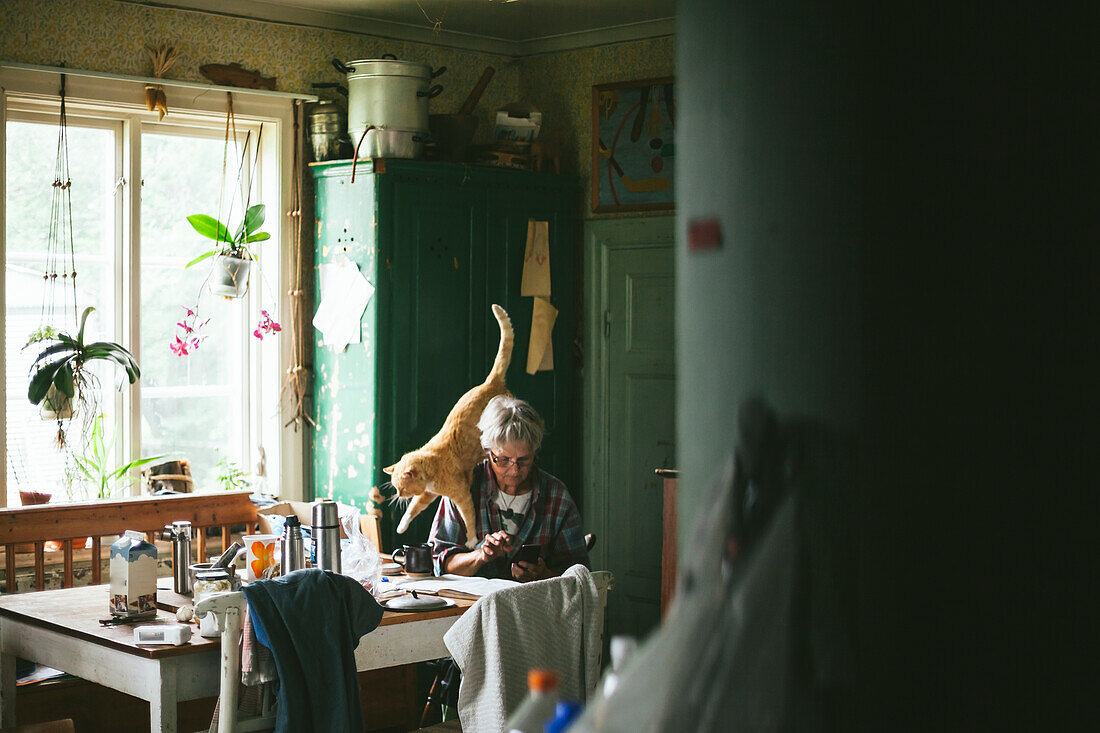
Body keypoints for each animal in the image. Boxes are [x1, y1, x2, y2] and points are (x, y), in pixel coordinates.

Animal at [385, 301, 512, 541]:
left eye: (402, 489)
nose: (398, 495)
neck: (432, 464)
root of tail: (489, 382)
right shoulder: (427, 495)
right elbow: (413, 509)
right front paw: (401, 526)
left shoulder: (461, 494)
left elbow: (468, 517)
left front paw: (472, 540)